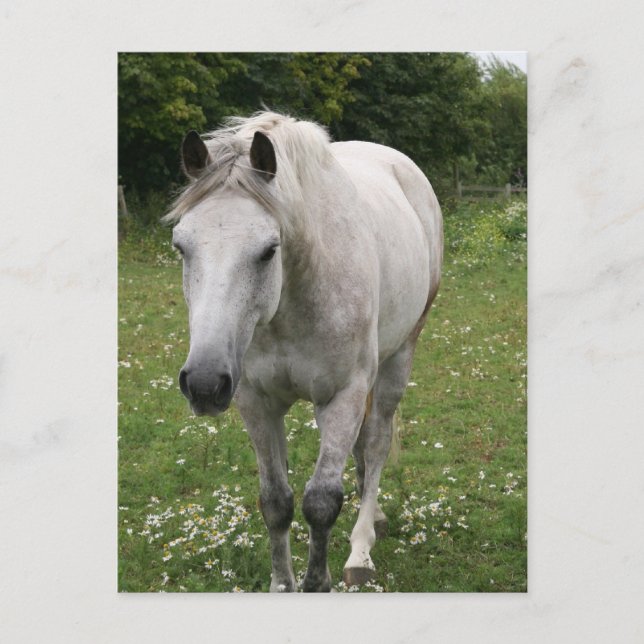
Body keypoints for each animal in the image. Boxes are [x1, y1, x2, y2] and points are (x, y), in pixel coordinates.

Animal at [164, 112, 443, 592]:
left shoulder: (344, 395)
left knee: (376, 441)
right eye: (182, 246)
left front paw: (318, 581)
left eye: (268, 250)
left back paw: (362, 547)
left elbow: (321, 502)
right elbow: (276, 501)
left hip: (399, 357)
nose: (203, 384)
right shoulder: (256, 401)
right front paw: (282, 584)